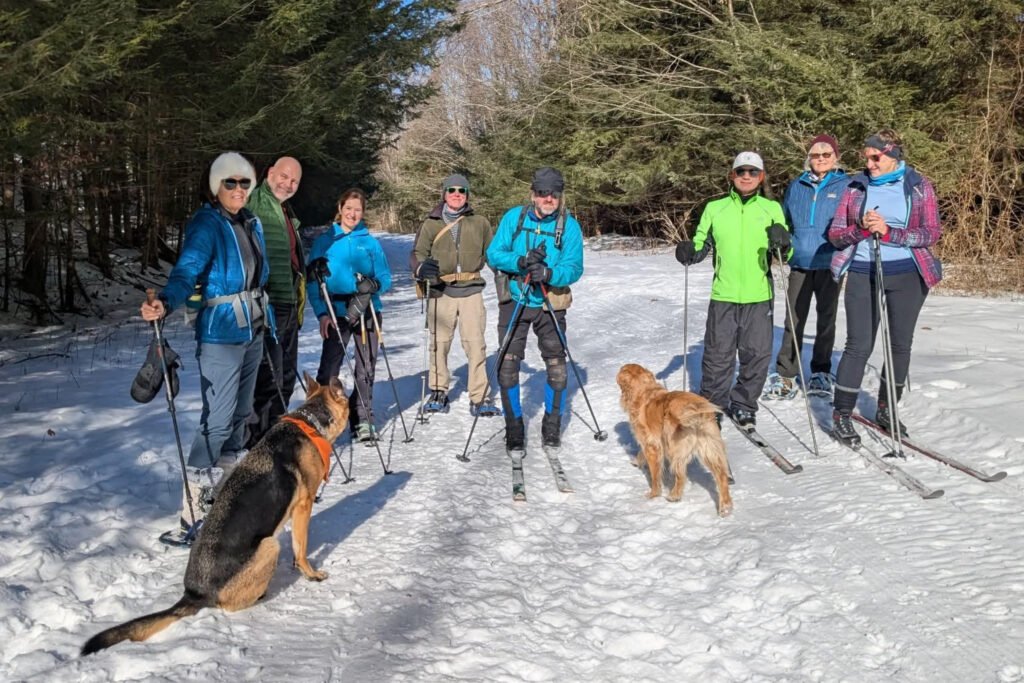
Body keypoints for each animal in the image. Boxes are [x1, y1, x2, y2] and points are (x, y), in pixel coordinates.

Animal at [82, 374, 349, 655]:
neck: (310, 422)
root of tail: (194, 594)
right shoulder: (303, 507)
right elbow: (301, 548)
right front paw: (311, 574)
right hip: (269, 546)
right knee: (230, 604)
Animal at [617, 363, 732, 516]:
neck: (644, 390)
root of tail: (695, 411)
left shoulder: (651, 445)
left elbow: (655, 475)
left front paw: (653, 494)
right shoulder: (653, 443)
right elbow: (641, 454)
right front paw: (637, 461)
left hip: (674, 448)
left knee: (681, 475)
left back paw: (674, 496)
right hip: (709, 448)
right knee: (721, 475)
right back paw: (725, 507)